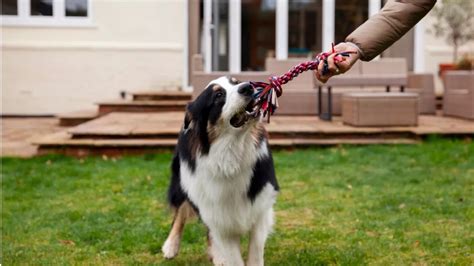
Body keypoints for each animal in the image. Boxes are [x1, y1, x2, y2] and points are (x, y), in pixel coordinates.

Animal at [161, 76, 280, 264]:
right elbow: (233, 256)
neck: (231, 155)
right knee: (180, 212)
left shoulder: (261, 206)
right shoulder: (216, 213)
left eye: (236, 82)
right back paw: (171, 246)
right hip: (183, 182)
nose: (247, 87)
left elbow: (255, 249)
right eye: (218, 95)